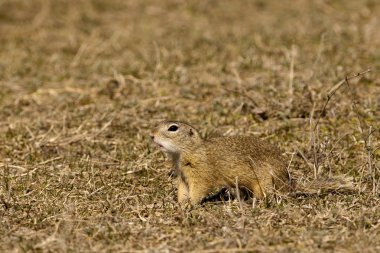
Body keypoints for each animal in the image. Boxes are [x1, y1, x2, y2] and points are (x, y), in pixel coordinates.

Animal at [151, 119, 290, 205]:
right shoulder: (183, 175)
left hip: (264, 182)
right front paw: (180, 203)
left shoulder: (200, 173)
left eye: (173, 128)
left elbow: (199, 189)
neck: (191, 150)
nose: (151, 135)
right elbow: (182, 190)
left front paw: (191, 204)